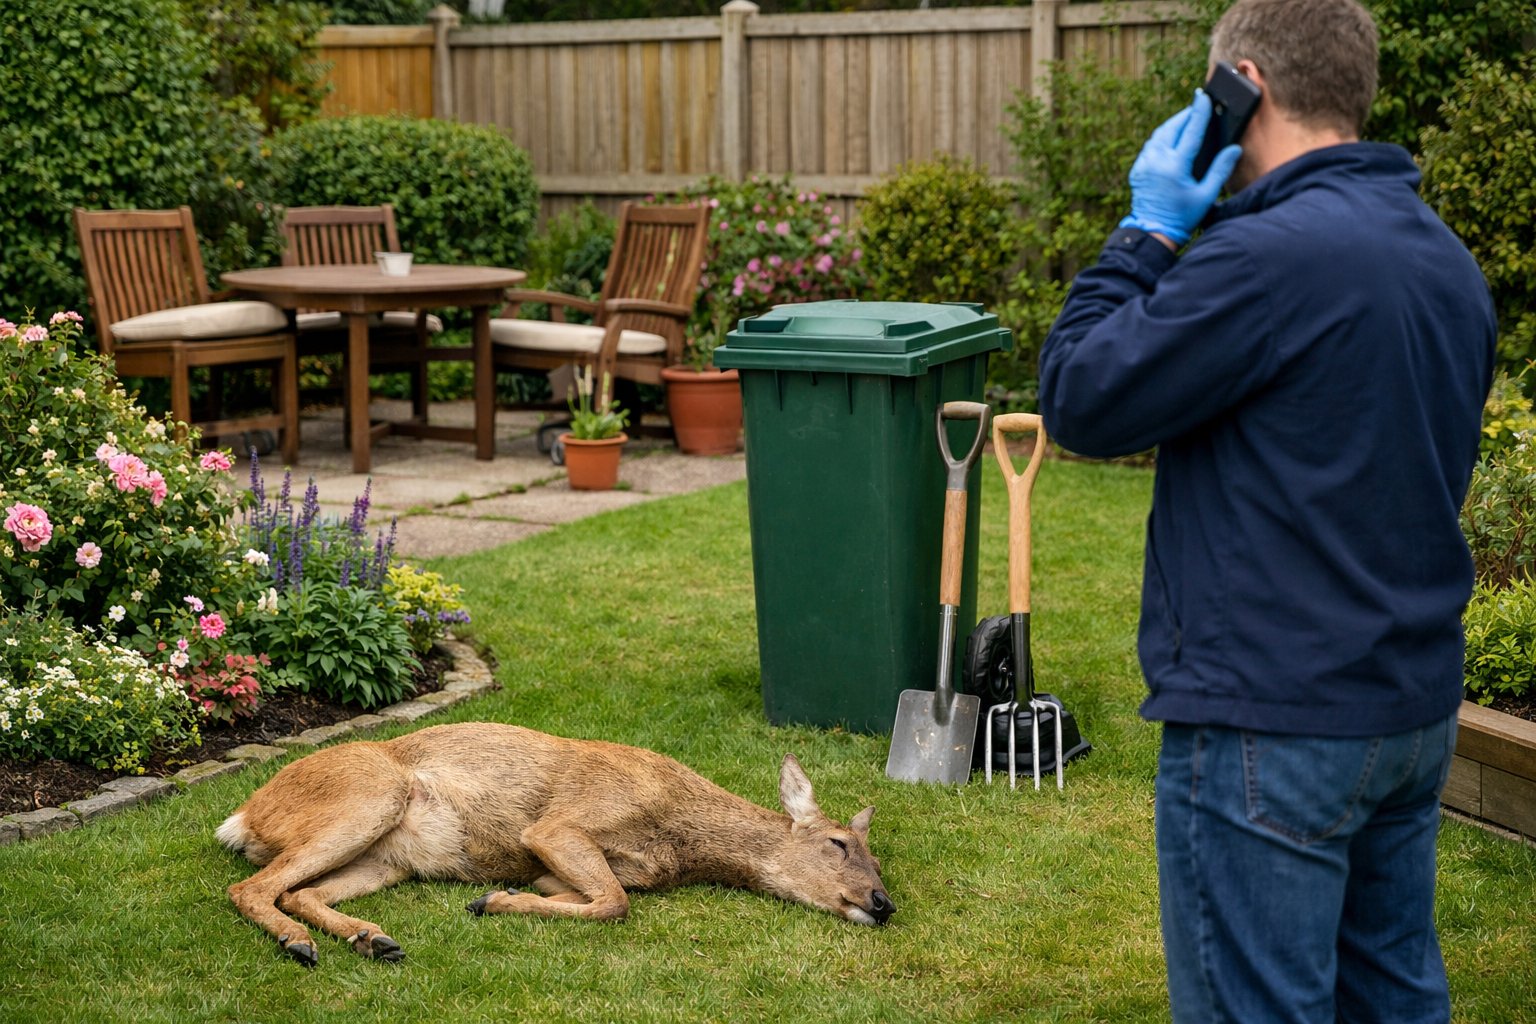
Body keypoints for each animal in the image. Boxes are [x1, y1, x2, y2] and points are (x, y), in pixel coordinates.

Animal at [217, 721, 895, 966]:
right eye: (839, 843)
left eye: (878, 859)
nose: (883, 903)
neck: (679, 838)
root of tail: (245, 814)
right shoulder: (557, 825)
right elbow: (615, 901)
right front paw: (491, 901)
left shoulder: (566, 865)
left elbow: (597, 895)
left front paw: (500, 896)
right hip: (370, 796)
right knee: (249, 885)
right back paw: (299, 945)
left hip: (385, 860)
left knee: (297, 891)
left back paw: (372, 939)